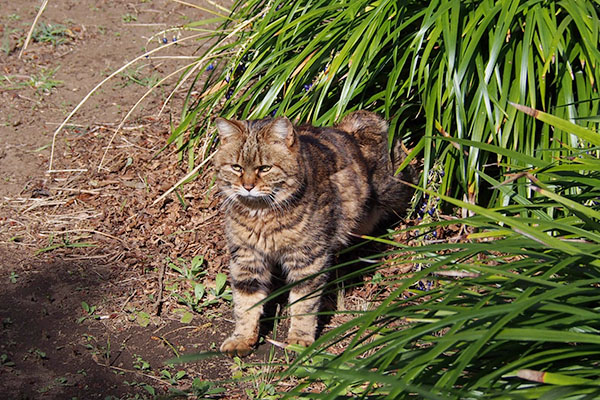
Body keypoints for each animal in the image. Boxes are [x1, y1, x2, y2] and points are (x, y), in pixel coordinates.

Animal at [212, 110, 412, 356]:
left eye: (265, 168)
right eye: (236, 167)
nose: (247, 186)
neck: (261, 215)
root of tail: (349, 129)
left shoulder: (307, 258)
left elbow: (303, 304)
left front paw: (299, 339)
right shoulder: (246, 257)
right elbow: (245, 302)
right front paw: (242, 338)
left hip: (393, 191)